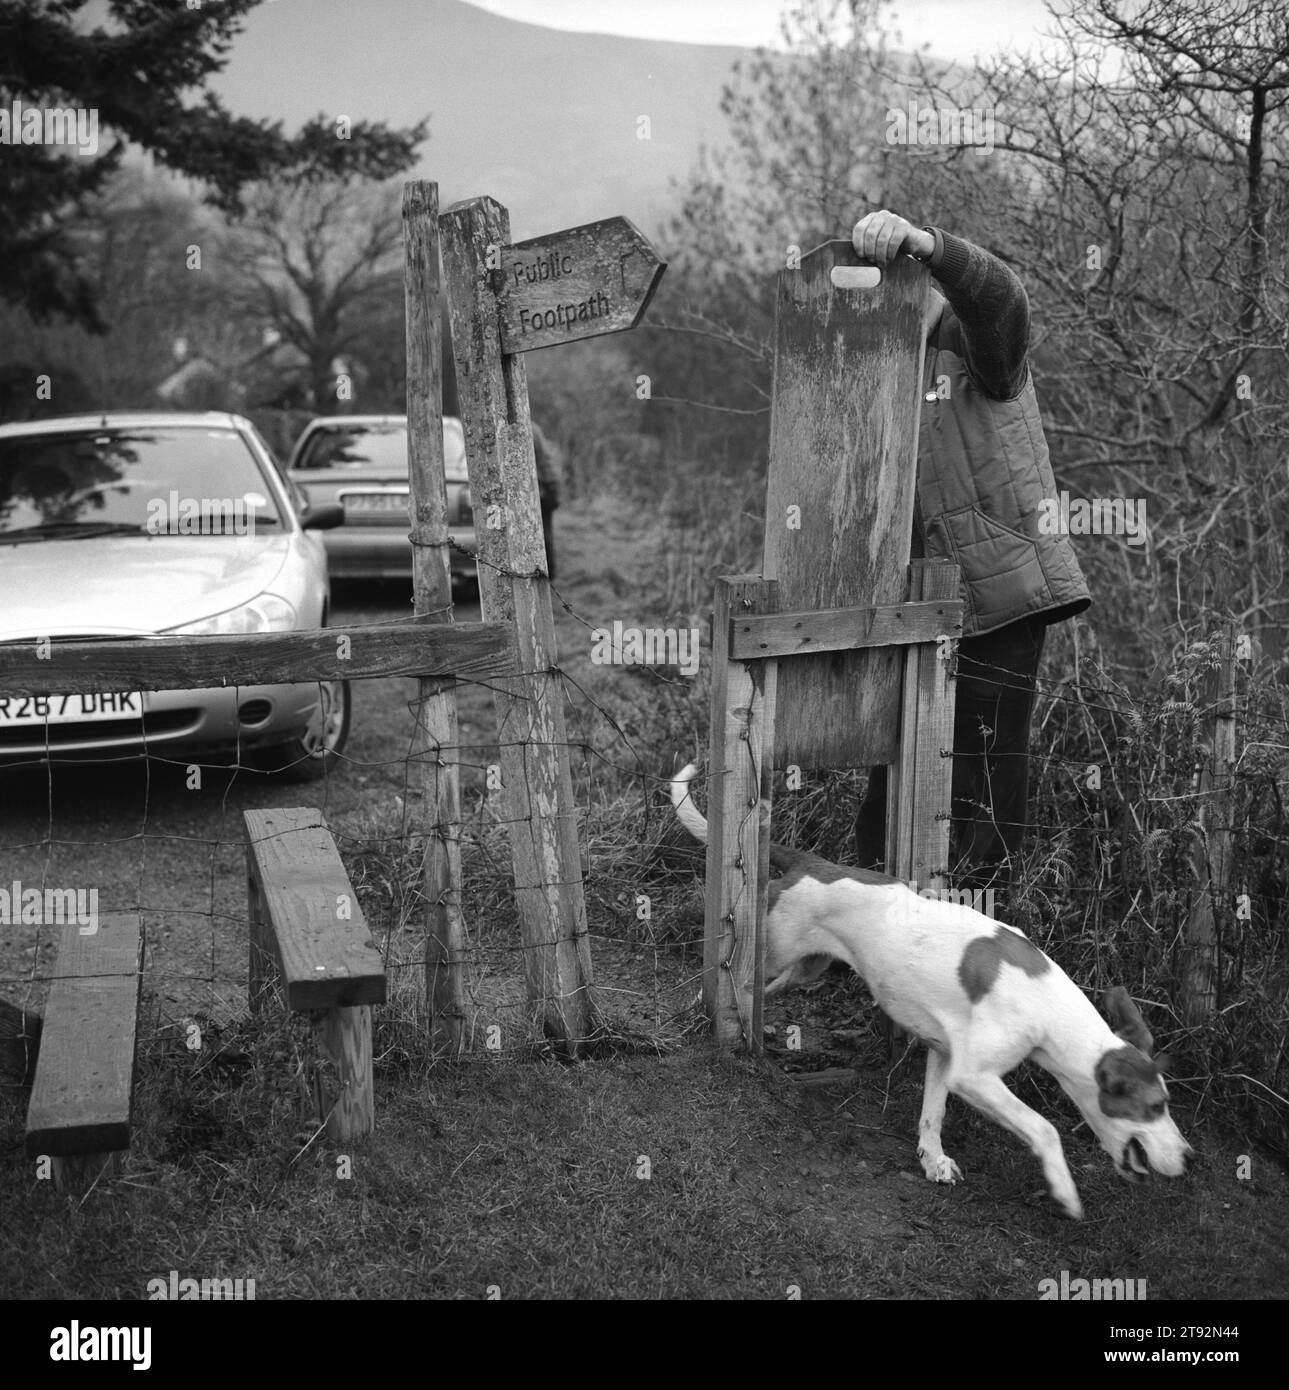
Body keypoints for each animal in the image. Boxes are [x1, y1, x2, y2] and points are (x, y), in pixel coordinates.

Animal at [670, 767, 1195, 1223]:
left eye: (1167, 1102)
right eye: (1154, 1107)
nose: (1189, 1158)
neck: (1047, 1004)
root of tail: (814, 863)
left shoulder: (944, 1054)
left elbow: (933, 1113)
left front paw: (932, 1159)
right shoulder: (974, 1076)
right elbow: (1044, 1128)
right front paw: (1064, 1190)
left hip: (806, 970)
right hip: (773, 957)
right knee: (722, 986)